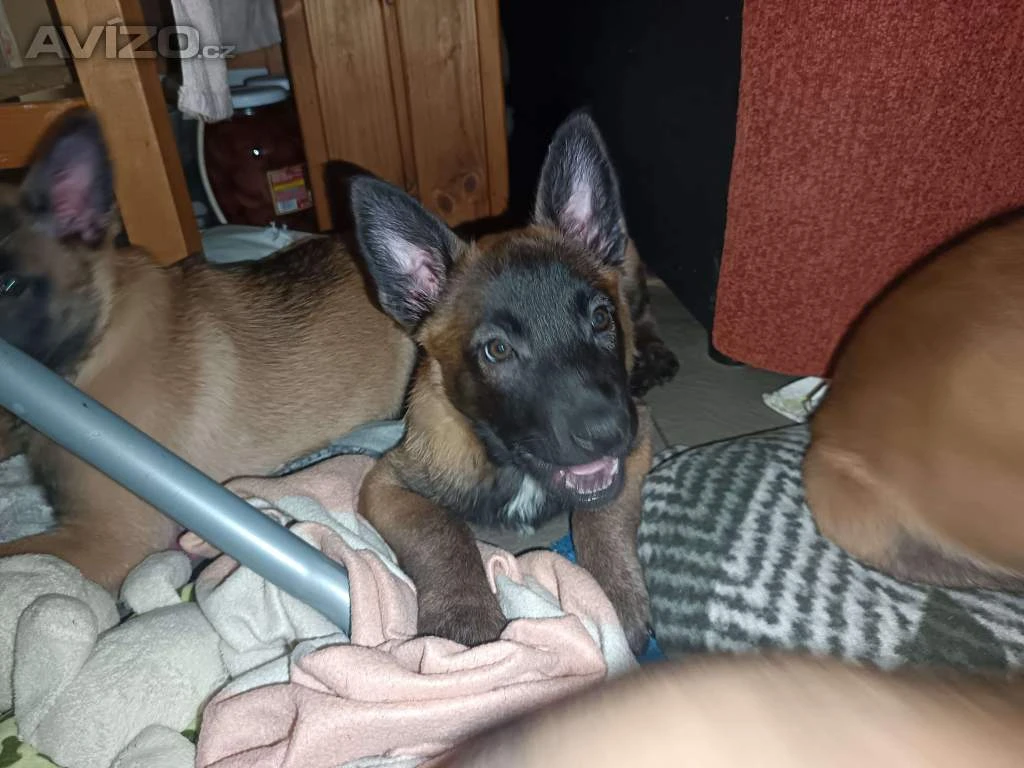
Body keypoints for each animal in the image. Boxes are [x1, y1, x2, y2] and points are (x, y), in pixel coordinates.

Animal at [350, 112, 653, 652]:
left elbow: (602, 514)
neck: (515, 466)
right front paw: (464, 618)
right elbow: (440, 530)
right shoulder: (387, 482)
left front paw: (617, 600)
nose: (607, 433)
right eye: (497, 350)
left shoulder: (640, 439)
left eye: (600, 319)